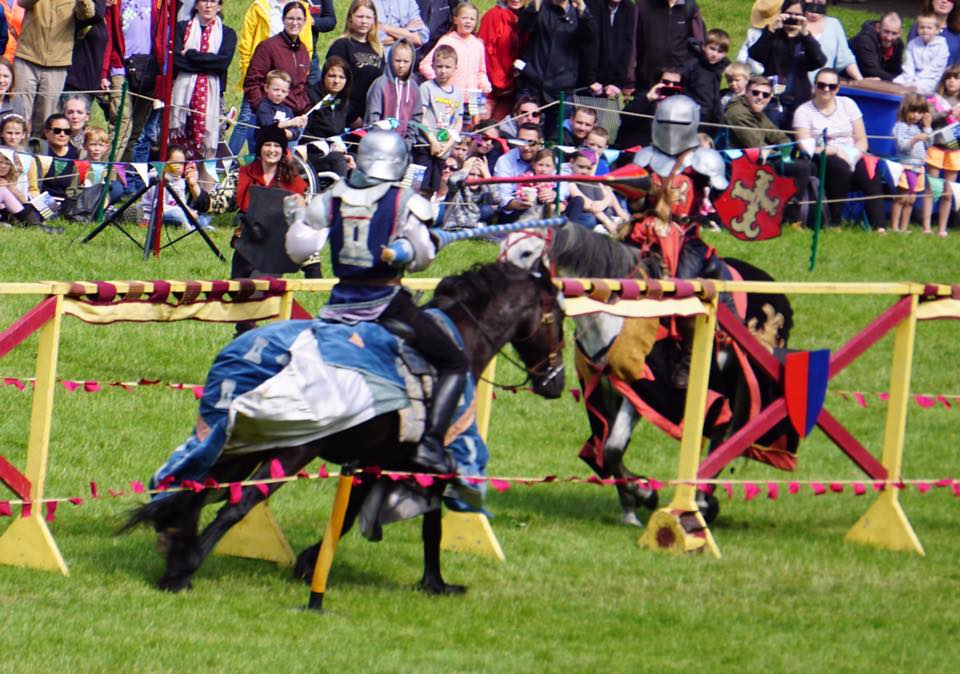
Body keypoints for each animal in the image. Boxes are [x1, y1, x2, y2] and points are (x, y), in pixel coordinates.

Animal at [124, 260, 568, 592]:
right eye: (558, 319)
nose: (556, 383)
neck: (462, 338)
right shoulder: (427, 464)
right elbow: (429, 523)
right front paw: (436, 583)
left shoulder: (373, 461)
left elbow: (353, 513)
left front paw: (310, 563)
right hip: (292, 449)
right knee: (237, 503)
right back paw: (184, 570)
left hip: (241, 443)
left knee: (197, 490)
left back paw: (176, 556)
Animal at [502, 224, 796, 524]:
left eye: (527, 252)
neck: (615, 316)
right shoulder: (605, 390)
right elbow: (608, 450)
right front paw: (632, 504)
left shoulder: (641, 391)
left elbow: (613, 447)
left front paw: (644, 494)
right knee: (721, 432)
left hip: (742, 382)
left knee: (727, 434)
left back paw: (702, 500)